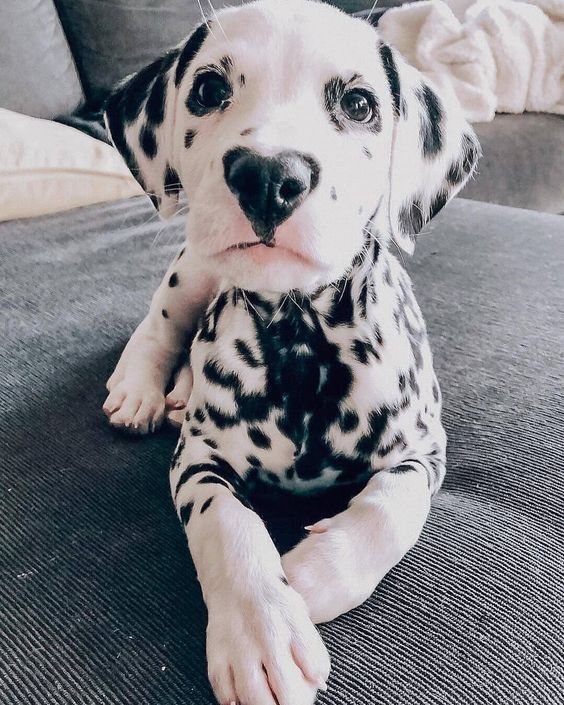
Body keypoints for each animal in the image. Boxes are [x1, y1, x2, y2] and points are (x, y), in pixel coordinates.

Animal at [102, 2, 480, 700]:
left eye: (358, 103)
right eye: (208, 90)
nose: (268, 175)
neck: (303, 341)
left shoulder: (425, 450)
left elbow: (390, 510)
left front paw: (313, 576)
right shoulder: (198, 458)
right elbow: (226, 524)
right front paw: (263, 631)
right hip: (193, 267)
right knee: (161, 320)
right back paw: (141, 388)